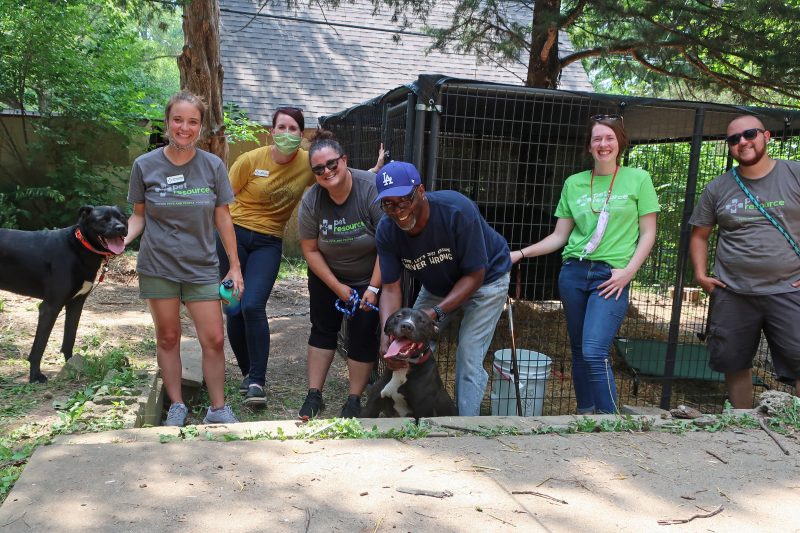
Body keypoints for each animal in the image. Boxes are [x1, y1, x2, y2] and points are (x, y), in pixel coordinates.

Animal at [0, 205, 127, 382]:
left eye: (122, 218)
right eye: (103, 219)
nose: (121, 228)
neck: (78, 247)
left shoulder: (76, 304)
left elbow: (69, 339)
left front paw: (71, 365)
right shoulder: (50, 307)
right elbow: (39, 346)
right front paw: (35, 376)